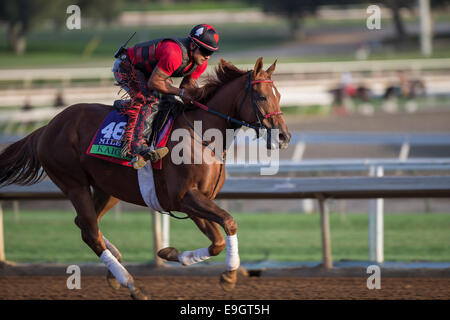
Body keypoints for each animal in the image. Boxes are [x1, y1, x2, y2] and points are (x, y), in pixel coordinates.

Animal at [0, 57, 292, 300]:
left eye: (279, 96)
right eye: (262, 97)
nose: (284, 137)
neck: (202, 136)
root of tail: (48, 127)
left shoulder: (194, 202)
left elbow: (217, 242)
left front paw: (171, 254)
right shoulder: (186, 197)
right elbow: (229, 223)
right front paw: (230, 275)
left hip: (109, 189)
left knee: (84, 225)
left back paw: (116, 265)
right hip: (74, 184)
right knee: (90, 232)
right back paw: (132, 285)